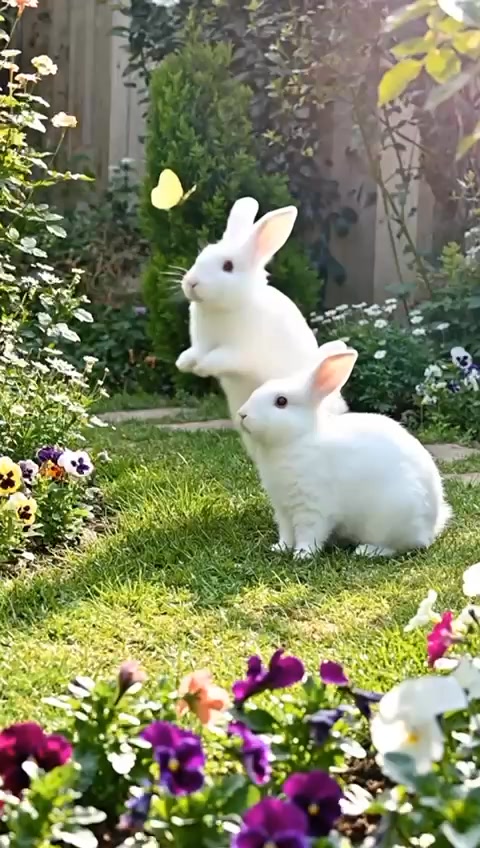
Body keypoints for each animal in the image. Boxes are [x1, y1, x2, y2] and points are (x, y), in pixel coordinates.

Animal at [175, 198, 348, 435]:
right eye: (200, 256)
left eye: (228, 266)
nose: (191, 283)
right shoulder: (201, 343)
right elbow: (195, 352)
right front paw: (184, 363)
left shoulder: (239, 353)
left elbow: (218, 358)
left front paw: (201, 367)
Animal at [237, 347, 451, 559]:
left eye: (281, 401)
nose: (242, 414)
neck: (297, 439)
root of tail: (431, 526)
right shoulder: (283, 509)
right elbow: (287, 533)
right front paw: (280, 548)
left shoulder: (313, 507)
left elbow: (309, 533)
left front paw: (302, 555)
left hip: (390, 519)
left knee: (398, 547)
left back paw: (366, 550)